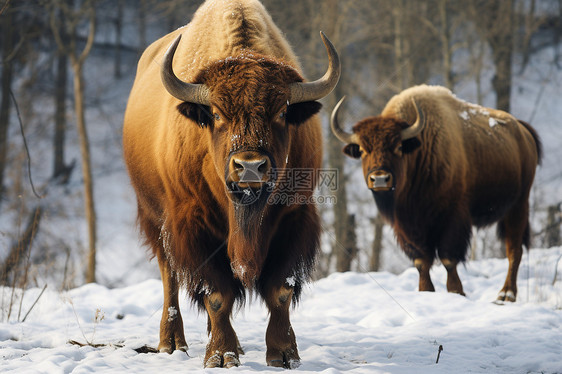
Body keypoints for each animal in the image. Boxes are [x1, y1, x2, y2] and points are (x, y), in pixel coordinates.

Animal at [123, 0, 340, 368]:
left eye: (282, 112)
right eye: (216, 113)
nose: (250, 166)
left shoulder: (295, 217)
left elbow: (280, 290)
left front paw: (284, 354)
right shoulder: (192, 225)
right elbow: (217, 295)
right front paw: (221, 356)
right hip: (155, 218)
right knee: (170, 276)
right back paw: (172, 342)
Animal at [330, 84, 540, 304]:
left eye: (398, 147)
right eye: (362, 150)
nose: (380, 179)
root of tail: (522, 131)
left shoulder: (452, 218)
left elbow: (448, 258)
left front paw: (457, 291)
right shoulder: (409, 226)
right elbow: (421, 261)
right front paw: (426, 291)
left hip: (519, 205)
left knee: (514, 250)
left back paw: (506, 294)